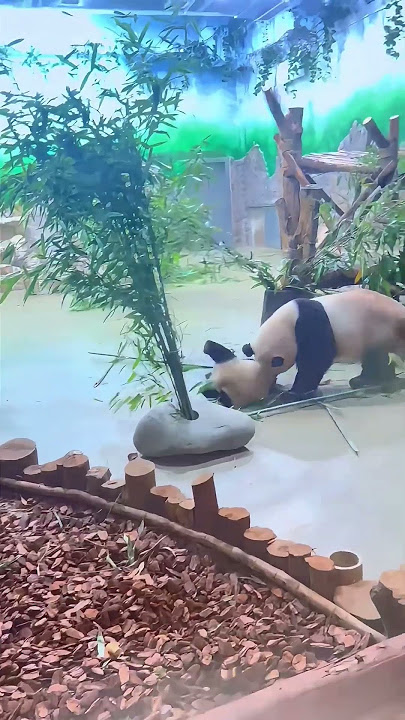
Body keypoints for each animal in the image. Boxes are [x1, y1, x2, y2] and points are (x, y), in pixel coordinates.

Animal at [203, 288, 405, 408]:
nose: (213, 394)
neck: (287, 323)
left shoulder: (310, 325)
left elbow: (316, 360)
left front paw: (292, 394)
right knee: (376, 357)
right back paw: (366, 380)